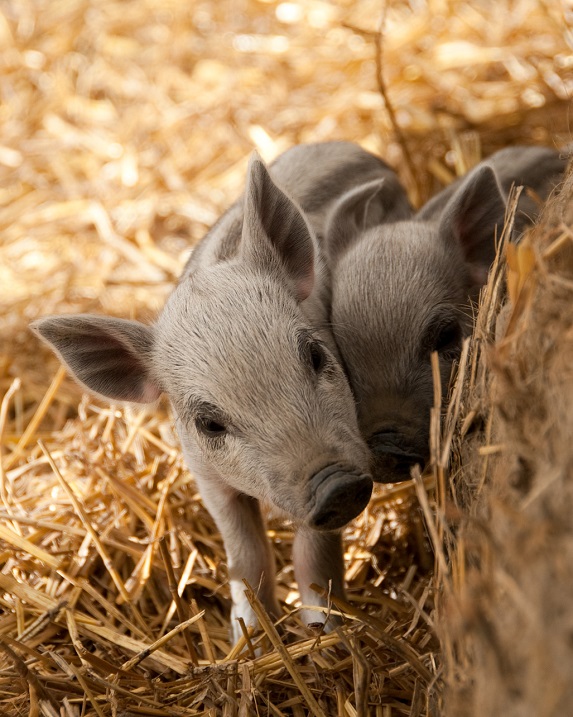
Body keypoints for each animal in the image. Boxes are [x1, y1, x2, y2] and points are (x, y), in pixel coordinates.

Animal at [31, 140, 414, 636]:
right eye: (209, 423)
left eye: (316, 356)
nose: (336, 484)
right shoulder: (206, 475)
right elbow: (245, 555)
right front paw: (249, 636)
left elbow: (314, 550)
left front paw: (325, 631)